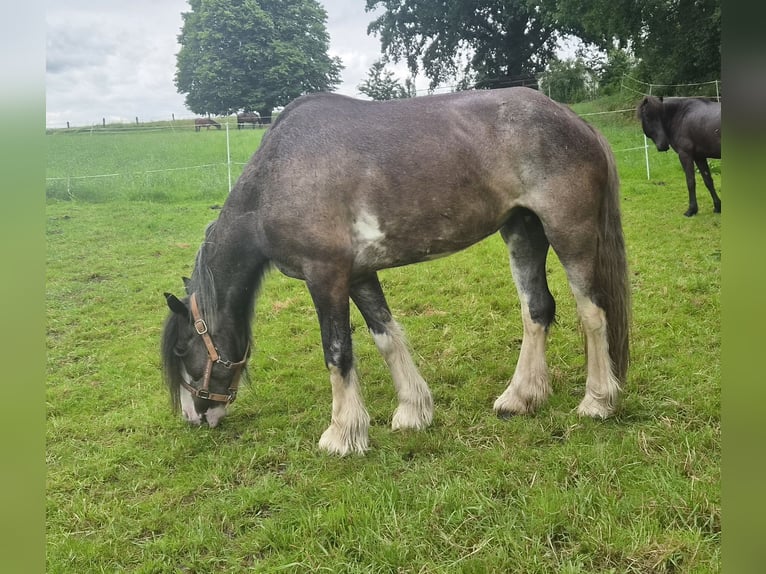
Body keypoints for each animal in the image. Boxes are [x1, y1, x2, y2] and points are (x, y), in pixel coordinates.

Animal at [162, 88, 631, 456]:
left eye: (183, 349)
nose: (194, 417)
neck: (281, 173)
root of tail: (578, 122)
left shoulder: (325, 275)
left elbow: (337, 351)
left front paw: (342, 434)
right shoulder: (358, 274)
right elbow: (386, 336)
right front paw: (412, 411)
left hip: (569, 232)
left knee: (592, 313)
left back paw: (597, 401)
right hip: (523, 231)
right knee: (536, 309)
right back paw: (520, 397)